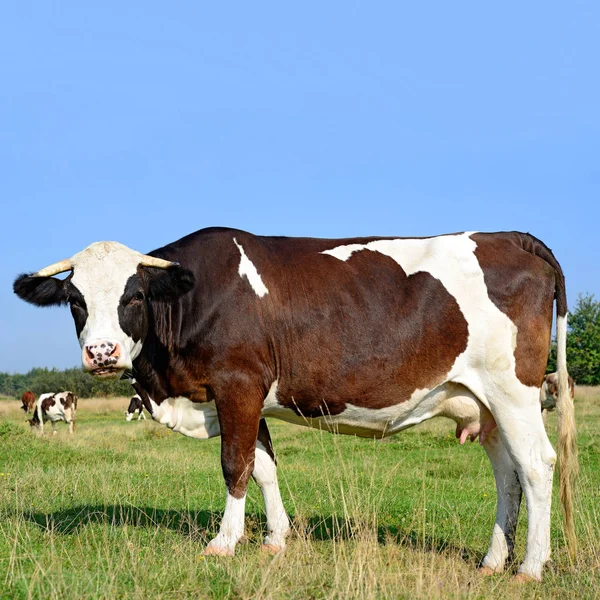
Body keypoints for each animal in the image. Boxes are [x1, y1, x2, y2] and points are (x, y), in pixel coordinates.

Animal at [12, 227, 576, 580]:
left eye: (133, 296)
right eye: (76, 301)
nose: (101, 353)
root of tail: (507, 235)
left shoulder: (238, 385)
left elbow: (235, 465)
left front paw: (224, 543)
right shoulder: (249, 399)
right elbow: (263, 467)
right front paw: (276, 539)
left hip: (512, 389)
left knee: (536, 465)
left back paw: (530, 567)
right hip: (484, 403)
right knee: (507, 475)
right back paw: (493, 560)